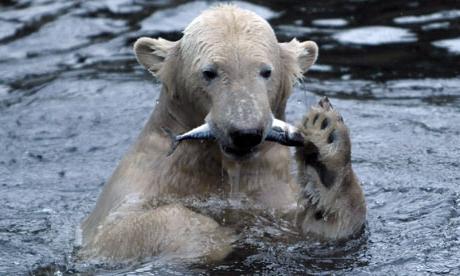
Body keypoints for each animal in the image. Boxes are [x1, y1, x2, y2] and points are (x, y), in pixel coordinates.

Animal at [79, 4, 366, 264]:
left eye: (266, 71)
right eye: (209, 72)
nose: (245, 132)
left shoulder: (271, 195)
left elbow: (320, 231)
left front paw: (325, 142)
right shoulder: (141, 179)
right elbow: (116, 230)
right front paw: (213, 237)